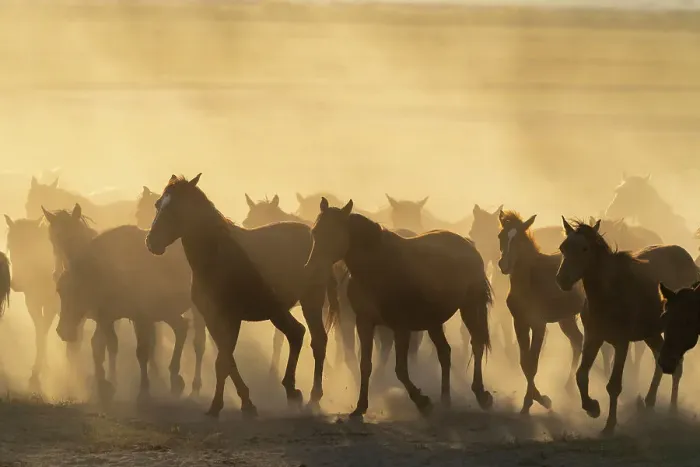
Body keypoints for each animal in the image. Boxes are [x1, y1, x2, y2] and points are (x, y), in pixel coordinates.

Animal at [4, 216, 62, 391]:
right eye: (10, 246)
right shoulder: (32, 304)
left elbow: (43, 332)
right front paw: (40, 368)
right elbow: (39, 334)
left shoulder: (50, 307)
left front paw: (38, 371)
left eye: (30, 246)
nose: (16, 284)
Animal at [146, 174, 337, 417]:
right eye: (157, 204)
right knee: (296, 333)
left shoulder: (232, 318)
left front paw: (225, 405)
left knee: (318, 340)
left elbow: (223, 361)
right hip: (276, 310)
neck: (217, 256)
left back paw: (313, 397)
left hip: (310, 300)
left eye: (178, 209)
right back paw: (292, 391)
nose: (152, 242)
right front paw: (238, 402)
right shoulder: (212, 318)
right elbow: (226, 360)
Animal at [304, 197, 493, 417]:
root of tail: (468, 245)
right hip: (433, 320)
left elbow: (400, 369)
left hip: (470, 307)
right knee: (444, 352)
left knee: (477, 344)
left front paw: (422, 401)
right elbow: (365, 364)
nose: (310, 270)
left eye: (334, 234)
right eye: (314, 232)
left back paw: (481, 395)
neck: (378, 268)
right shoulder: (365, 322)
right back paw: (446, 400)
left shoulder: (401, 327)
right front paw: (360, 407)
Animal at [497, 210, 584, 415]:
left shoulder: (539, 324)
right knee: (577, 340)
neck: (529, 281)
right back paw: (569, 387)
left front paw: (533, 401)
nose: (504, 265)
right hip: (566, 318)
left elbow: (533, 364)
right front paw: (538, 399)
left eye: (520, 238)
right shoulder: (520, 323)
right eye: (501, 236)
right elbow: (524, 362)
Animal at [556, 218, 698, 435]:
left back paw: (672, 410)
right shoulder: (593, 338)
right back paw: (649, 401)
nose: (562, 279)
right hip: (651, 334)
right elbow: (581, 375)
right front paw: (592, 408)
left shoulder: (621, 343)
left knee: (676, 366)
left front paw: (609, 425)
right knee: (660, 360)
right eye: (563, 248)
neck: (610, 293)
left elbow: (614, 385)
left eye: (584, 248)